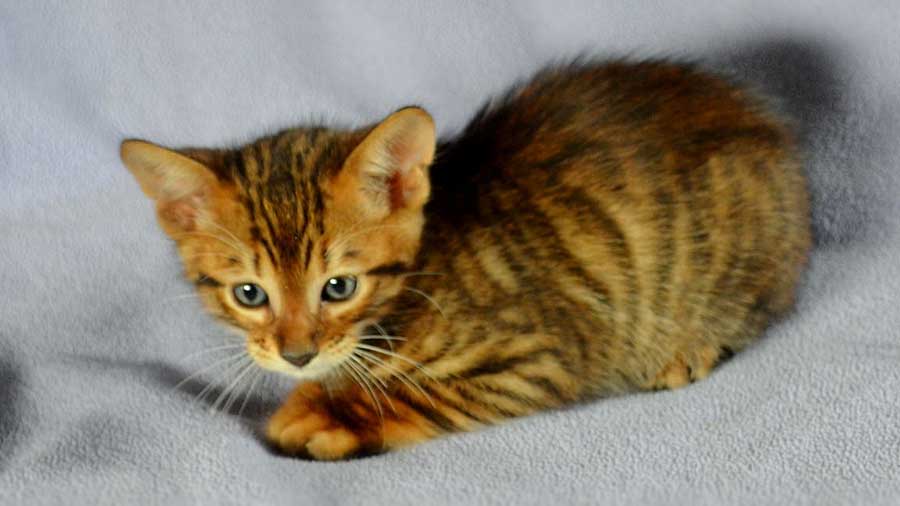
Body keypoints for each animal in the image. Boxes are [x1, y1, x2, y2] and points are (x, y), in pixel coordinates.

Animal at [118, 61, 808, 460]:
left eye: (338, 287)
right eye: (250, 294)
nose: (296, 356)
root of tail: (762, 118)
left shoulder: (538, 357)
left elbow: (418, 394)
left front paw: (334, 412)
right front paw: (325, 389)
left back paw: (686, 350)